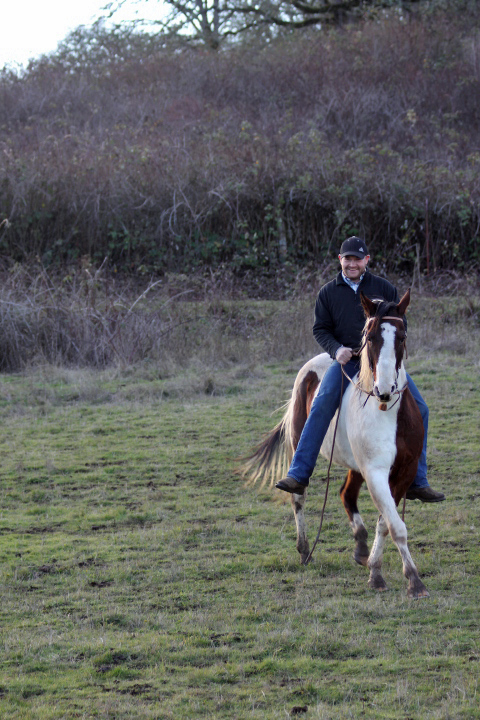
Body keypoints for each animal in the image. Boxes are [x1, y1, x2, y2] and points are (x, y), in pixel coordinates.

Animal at [242, 288, 429, 598]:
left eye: (401, 336)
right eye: (370, 337)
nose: (385, 389)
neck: (387, 411)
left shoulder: (404, 471)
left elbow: (386, 523)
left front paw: (376, 571)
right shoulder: (375, 472)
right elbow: (395, 525)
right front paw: (413, 580)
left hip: (357, 466)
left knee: (346, 494)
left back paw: (361, 547)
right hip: (300, 444)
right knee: (299, 497)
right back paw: (305, 549)